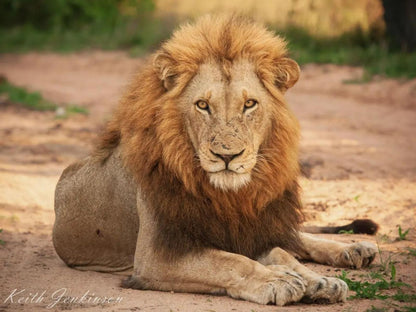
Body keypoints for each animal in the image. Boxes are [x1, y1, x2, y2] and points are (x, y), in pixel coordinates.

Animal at [53, 14, 378, 304]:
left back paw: (355, 250)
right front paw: (279, 280)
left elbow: (279, 253)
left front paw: (319, 281)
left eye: (250, 104)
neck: (228, 197)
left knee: (296, 238)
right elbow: (232, 262)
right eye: (202, 105)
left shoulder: (247, 232)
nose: (227, 155)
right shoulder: (155, 256)